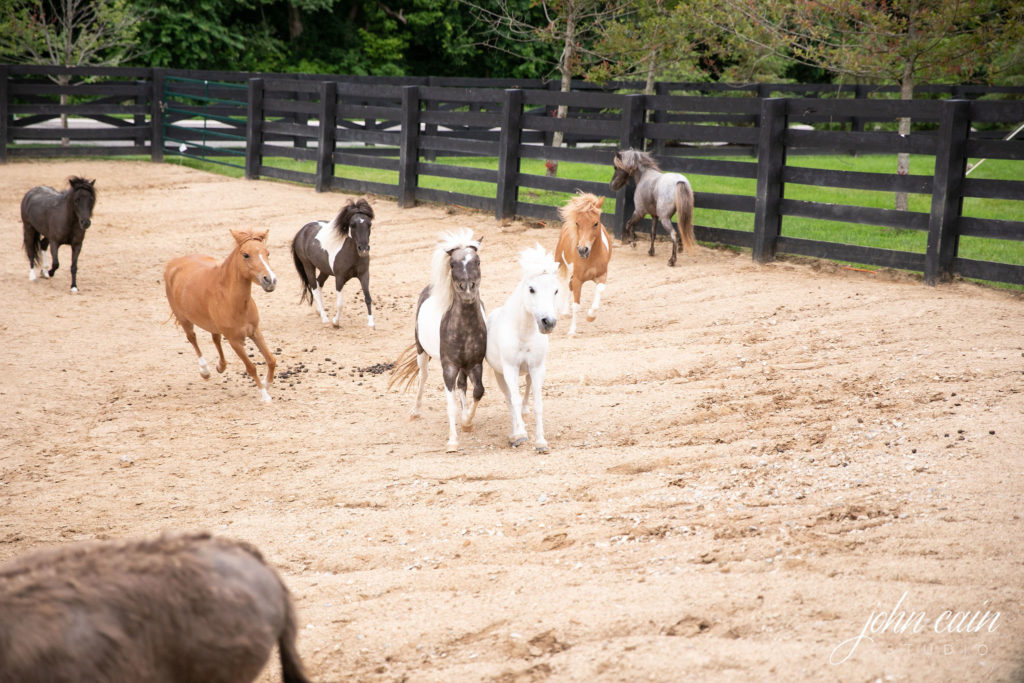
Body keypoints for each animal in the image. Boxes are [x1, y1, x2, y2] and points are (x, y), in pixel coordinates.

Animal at [164, 228, 279, 403]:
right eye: (246, 255)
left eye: (267, 253)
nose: (270, 280)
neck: (231, 300)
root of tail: (174, 263)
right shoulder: (234, 340)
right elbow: (251, 367)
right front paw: (264, 396)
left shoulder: (254, 331)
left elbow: (271, 360)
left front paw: (267, 383)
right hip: (183, 318)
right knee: (192, 338)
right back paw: (205, 370)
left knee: (215, 338)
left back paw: (221, 366)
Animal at [290, 198, 376, 328]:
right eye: (352, 225)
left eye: (369, 224)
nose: (364, 249)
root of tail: (302, 231)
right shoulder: (339, 278)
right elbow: (340, 303)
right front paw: (336, 322)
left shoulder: (364, 275)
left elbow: (367, 297)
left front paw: (371, 323)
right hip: (308, 266)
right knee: (314, 287)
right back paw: (324, 318)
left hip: (324, 270)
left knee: (319, 283)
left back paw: (319, 311)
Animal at [389, 229, 486, 453]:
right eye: (453, 264)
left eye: (477, 261)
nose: (467, 289)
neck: (465, 328)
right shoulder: (448, 367)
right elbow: (450, 404)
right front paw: (453, 441)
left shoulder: (475, 363)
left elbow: (478, 391)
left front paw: (467, 422)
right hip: (421, 352)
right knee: (423, 377)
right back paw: (415, 411)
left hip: (463, 365)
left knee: (462, 385)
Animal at [486, 244, 560, 453]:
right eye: (531, 289)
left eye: (556, 290)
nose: (548, 322)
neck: (523, 333)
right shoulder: (510, 369)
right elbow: (514, 400)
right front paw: (519, 435)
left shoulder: (536, 368)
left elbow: (538, 403)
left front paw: (541, 442)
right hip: (500, 375)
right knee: (510, 399)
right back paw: (516, 432)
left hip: (528, 371)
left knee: (525, 388)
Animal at [554, 192, 612, 336]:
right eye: (577, 223)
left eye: (596, 223)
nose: (582, 250)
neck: (590, 258)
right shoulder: (578, 279)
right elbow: (576, 305)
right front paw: (572, 331)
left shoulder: (602, 275)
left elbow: (600, 290)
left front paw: (591, 316)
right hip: (558, 262)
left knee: (569, 286)